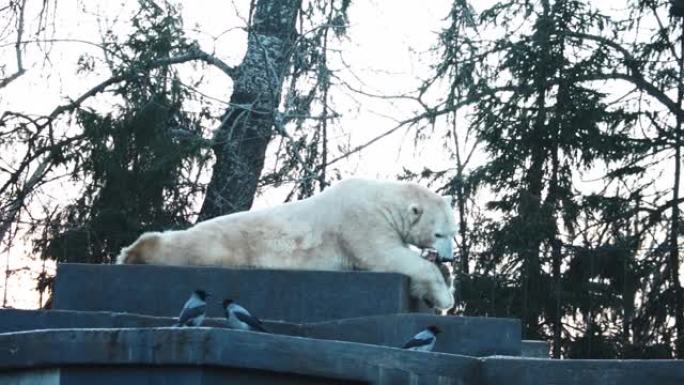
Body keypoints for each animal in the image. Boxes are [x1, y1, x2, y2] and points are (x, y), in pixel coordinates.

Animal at [117, 178, 456, 308]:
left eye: (453, 233)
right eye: (439, 234)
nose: (450, 258)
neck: (382, 198)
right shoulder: (360, 221)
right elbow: (386, 256)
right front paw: (444, 298)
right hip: (225, 244)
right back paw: (134, 252)